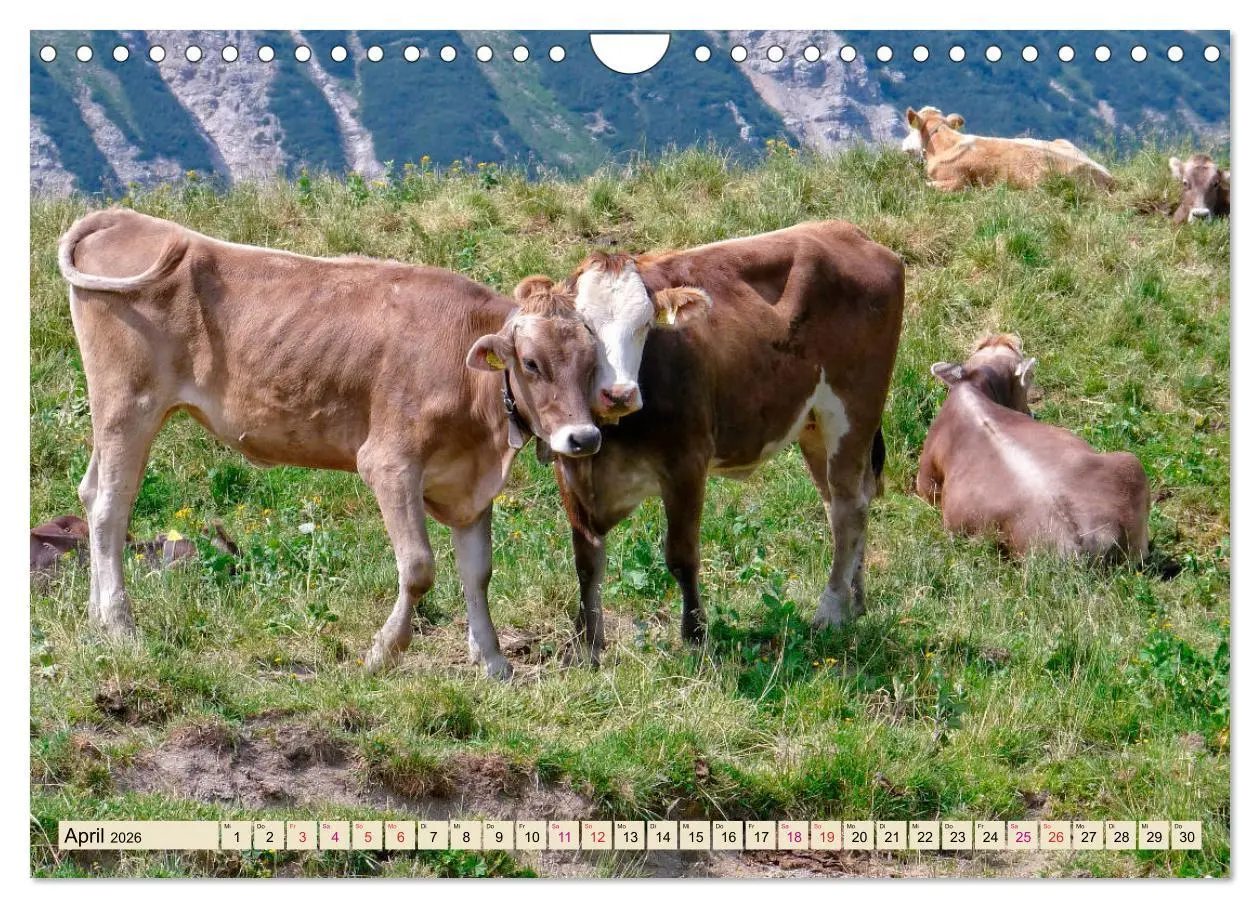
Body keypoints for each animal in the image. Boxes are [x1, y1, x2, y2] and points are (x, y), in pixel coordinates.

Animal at [58, 208, 603, 679]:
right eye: (531, 363)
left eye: (592, 361)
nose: (584, 437)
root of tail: (126, 217)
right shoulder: (388, 463)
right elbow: (419, 568)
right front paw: (383, 653)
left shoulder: (467, 485)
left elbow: (478, 573)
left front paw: (493, 662)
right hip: (128, 404)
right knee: (110, 508)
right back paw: (120, 625)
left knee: (91, 493)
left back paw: (94, 620)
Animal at [517, 221, 905, 661]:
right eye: (584, 327)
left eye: (645, 325)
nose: (619, 394)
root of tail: (849, 232)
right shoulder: (570, 469)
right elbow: (587, 561)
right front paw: (590, 646)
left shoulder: (687, 464)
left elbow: (682, 557)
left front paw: (695, 636)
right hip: (814, 425)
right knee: (842, 503)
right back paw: (855, 599)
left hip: (853, 410)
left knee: (848, 508)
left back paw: (832, 610)